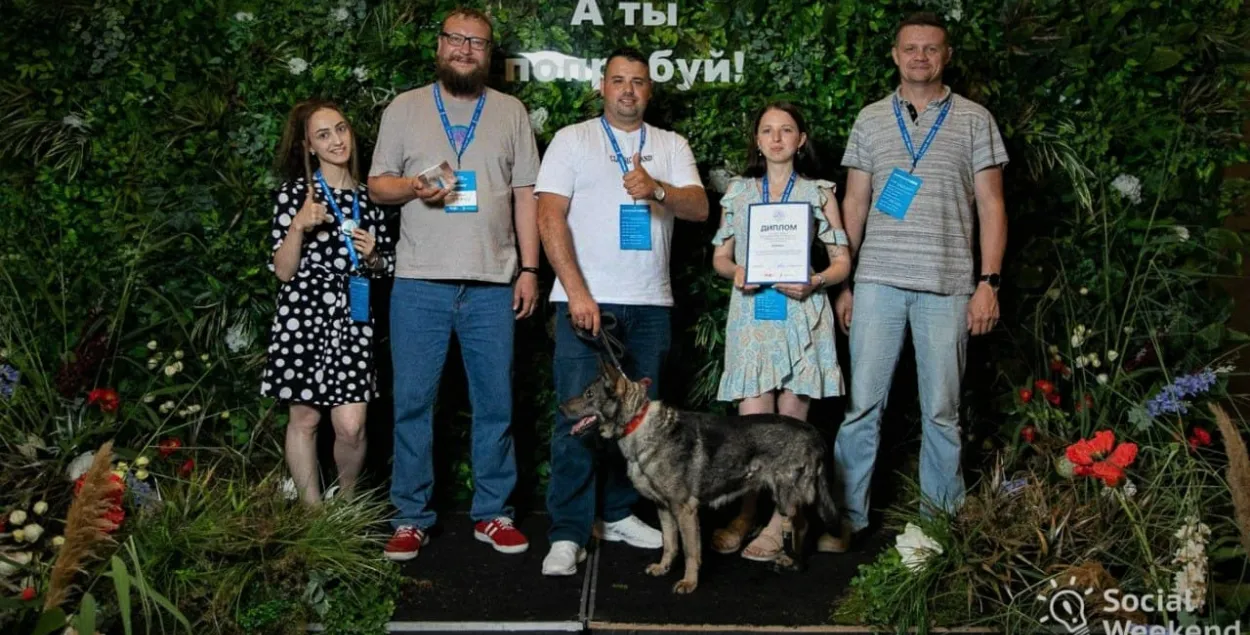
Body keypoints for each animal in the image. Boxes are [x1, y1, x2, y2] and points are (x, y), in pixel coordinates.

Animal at [565, 362, 840, 595]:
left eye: (589, 394)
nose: (560, 407)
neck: (639, 423)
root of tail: (814, 433)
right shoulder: (664, 508)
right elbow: (670, 544)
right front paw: (663, 567)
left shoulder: (685, 511)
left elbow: (690, 552)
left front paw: (689, 582)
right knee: (801, 524)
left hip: (786, 497)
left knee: (802, 524)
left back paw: (796, 563)